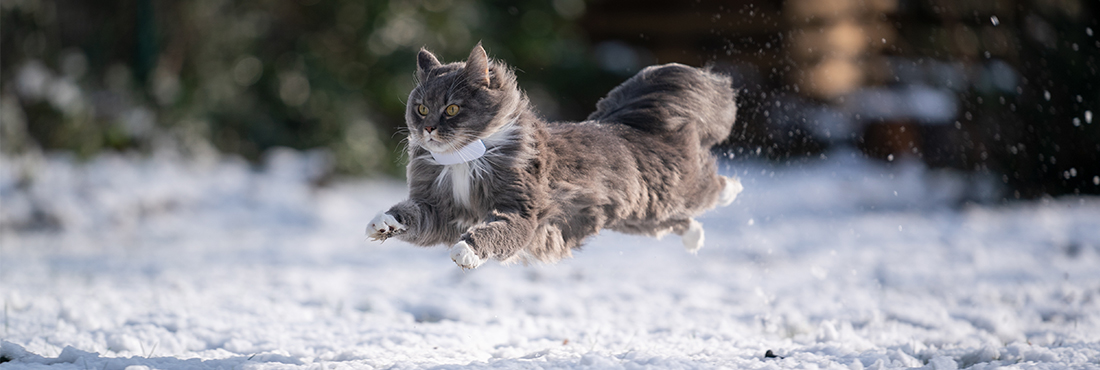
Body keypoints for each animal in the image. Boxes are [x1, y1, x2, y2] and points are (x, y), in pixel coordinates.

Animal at [367, 43, 739, 268]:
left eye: (452, 109)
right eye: (421, 108)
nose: (428, 128)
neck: (465, 160)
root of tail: (624, 123)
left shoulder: (519, 211)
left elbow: (493, 232)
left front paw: (466, 250)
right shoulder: (439, 210)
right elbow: (412, 216)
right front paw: (383, 223)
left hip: (672, 192)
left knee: (712, 184)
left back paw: (733, 189)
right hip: (638, 216)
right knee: (679, 222)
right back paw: (695, 240)